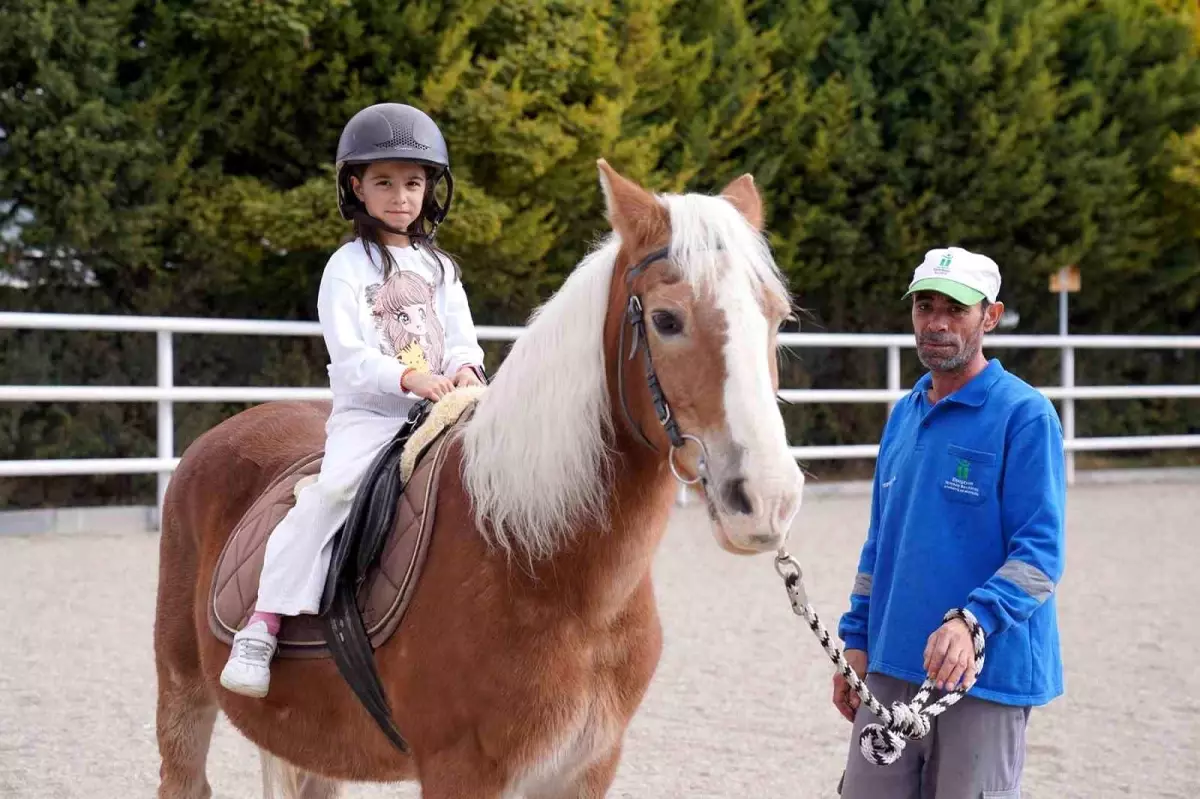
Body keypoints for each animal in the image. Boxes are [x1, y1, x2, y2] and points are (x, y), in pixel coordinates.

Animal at [152, 158, 806, 791]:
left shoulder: (586, 768)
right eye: (667, 320)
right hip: (182, 691)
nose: (767, 498)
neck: (537, 560)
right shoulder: (461, 770)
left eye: (777, 318)